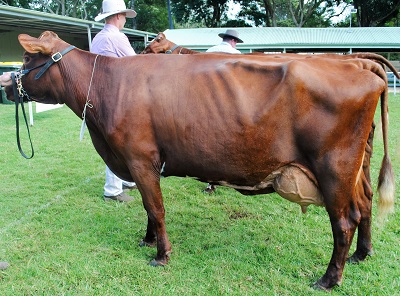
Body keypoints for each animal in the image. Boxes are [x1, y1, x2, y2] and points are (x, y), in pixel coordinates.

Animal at [1, 31, 396, 290]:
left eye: (27, 58)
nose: (6, 83)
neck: (108, 87)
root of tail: (359, 66)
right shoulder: (140, 164)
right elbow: (149, 208)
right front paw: (147, 240)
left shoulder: (140, 158)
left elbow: (155, 207)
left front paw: (161, 254)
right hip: (354, 167)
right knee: (365, 203)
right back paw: (362, 254)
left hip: (334, 168)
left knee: (344, 222)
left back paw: (329, 279)